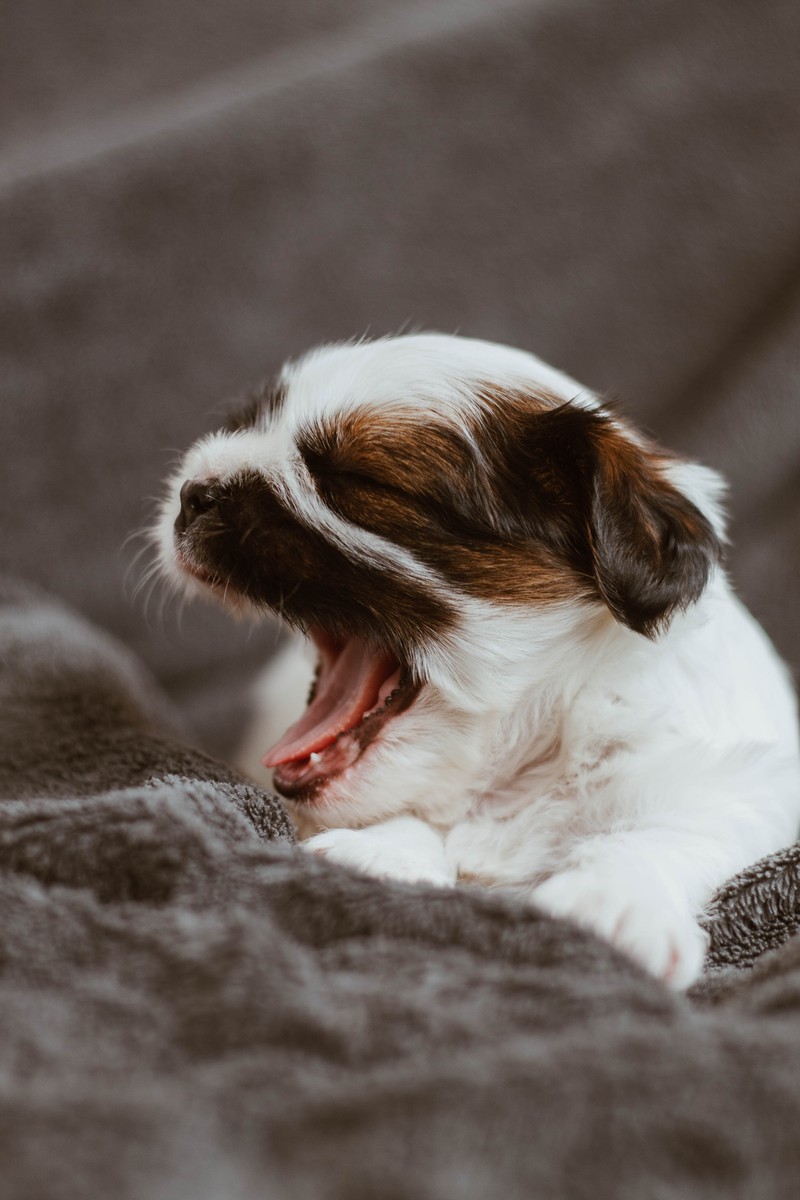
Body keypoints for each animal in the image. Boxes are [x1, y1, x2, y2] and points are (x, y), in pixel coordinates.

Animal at [154, 336, 800, 984]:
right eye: (250, 422)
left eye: (356, 479)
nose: (194, 494)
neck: (513, 772)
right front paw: (379, 850)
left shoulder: (736, 780)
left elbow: (678, 824)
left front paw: (611, 902)